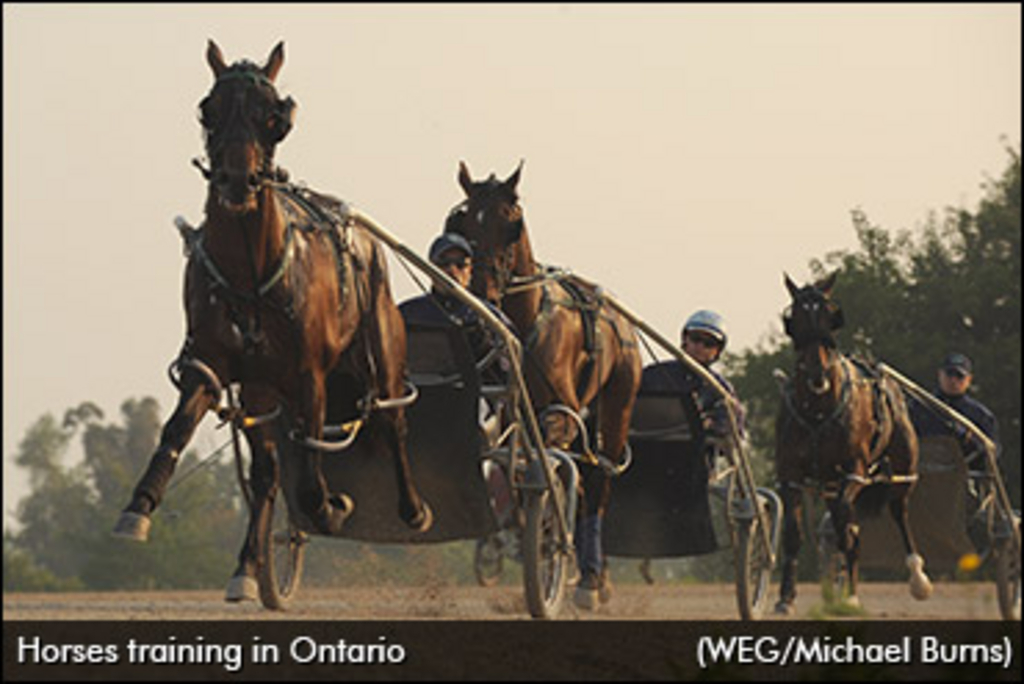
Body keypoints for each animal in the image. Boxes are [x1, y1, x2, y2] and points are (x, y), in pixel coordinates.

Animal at [113, 41, 432, 597]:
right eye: (209, 109)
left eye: (274, 117)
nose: (237, 181)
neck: (250, 274)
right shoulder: (211, 361)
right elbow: (176, 429)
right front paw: (139, 507)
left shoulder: (309, 375)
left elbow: (311, 475)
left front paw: (333, 506)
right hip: (260, 389)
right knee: (265, 472)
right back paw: (246, 568)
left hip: (382, 346)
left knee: (392, 419)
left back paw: (411, 509)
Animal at [448, 161, 638, 610]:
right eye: (465, 219)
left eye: (511, 221)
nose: (481, 290)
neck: (527, 322)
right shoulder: (510, 414)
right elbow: (515, 470)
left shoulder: (560, 414)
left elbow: (554, 471)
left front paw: (552, 540)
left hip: (618, 403)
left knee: (600, 479)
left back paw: (591, 581)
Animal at [774, 272, 929, 614]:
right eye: (794, 320)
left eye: (831, 317)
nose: (818, 375)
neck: (818, 411)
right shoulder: (790, 475)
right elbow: (793, 534)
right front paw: (785, 597)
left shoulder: (854, 470)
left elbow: (847, 527)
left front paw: (852, 596)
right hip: (831, 483)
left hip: (901, 471)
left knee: (899, 512)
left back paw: (916, 578)